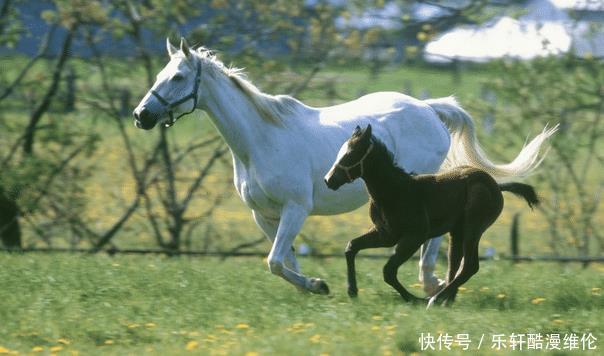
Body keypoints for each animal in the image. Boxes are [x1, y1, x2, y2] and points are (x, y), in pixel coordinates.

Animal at [326, 124, 536, 306]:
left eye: (351, 153)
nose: (329, 180)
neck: (395, 190)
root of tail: (496, 186)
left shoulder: (414, 236)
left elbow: (388, 271)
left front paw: (414, 299)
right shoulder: (386, 235)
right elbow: (351, 247)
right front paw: (352, 291)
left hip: (473, 228)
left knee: (469, 265)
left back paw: (435, 300)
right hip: (457, 232)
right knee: (455, 263)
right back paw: (446, 300)